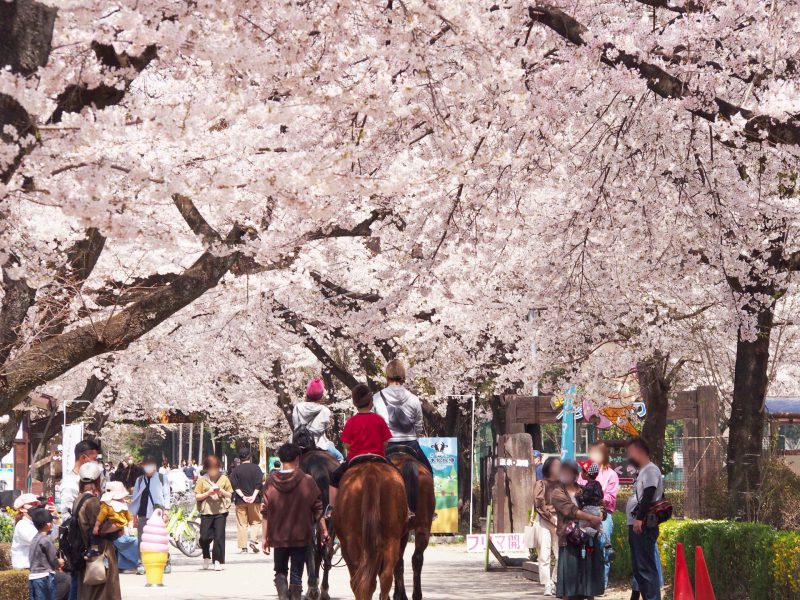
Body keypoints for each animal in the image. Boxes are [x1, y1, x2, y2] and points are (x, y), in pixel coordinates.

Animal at [390, 452, 434, 600]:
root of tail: (408, 462)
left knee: (398, 562)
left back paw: (402, 595)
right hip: (424, 526)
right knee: (417, 558)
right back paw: (416, 594)